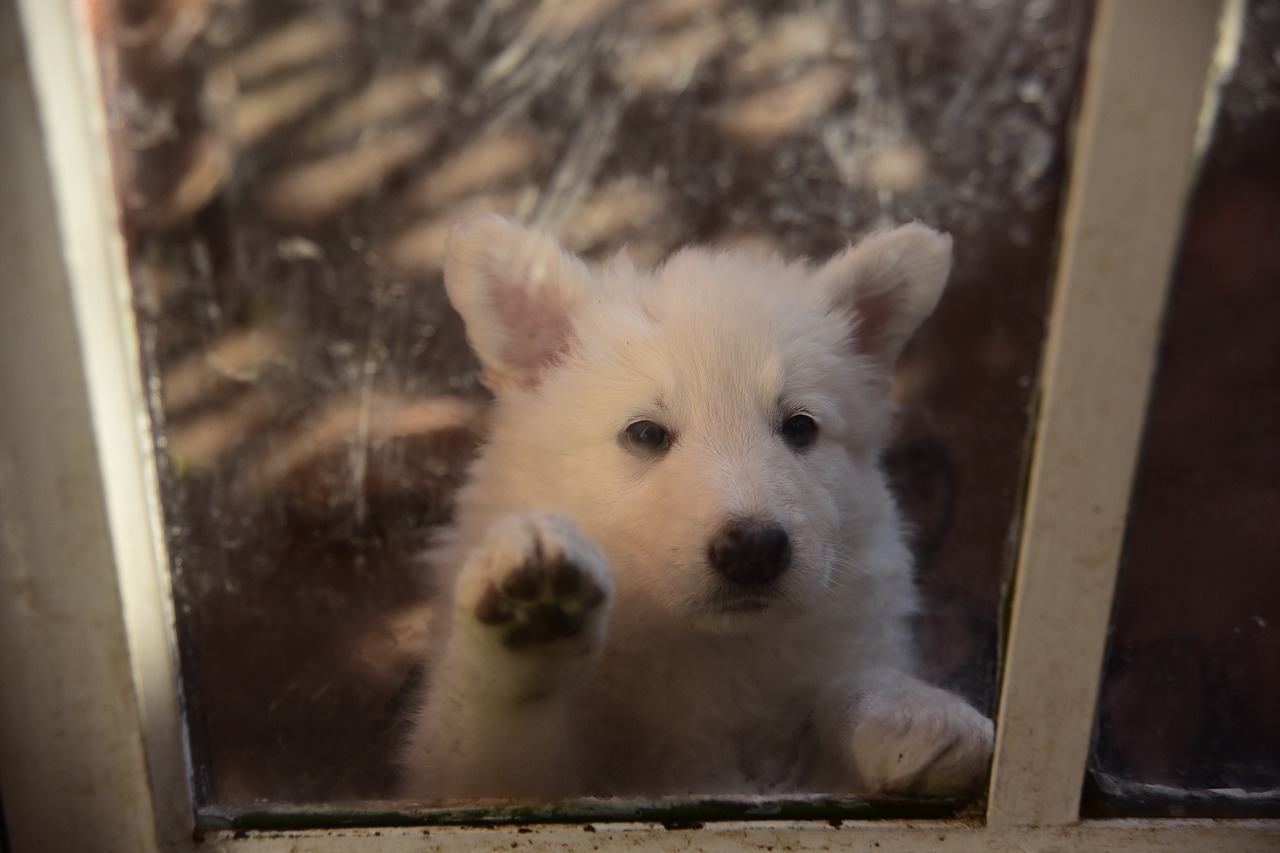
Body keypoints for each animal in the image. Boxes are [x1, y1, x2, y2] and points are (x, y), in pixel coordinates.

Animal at [399, 216, 988, 799]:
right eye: (645, 434)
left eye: (800, 428)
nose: (753, 549)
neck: (708, 650)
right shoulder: (489, 776)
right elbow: (489, 738)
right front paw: (530, 615)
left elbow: (848, 685)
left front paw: (915, 709)